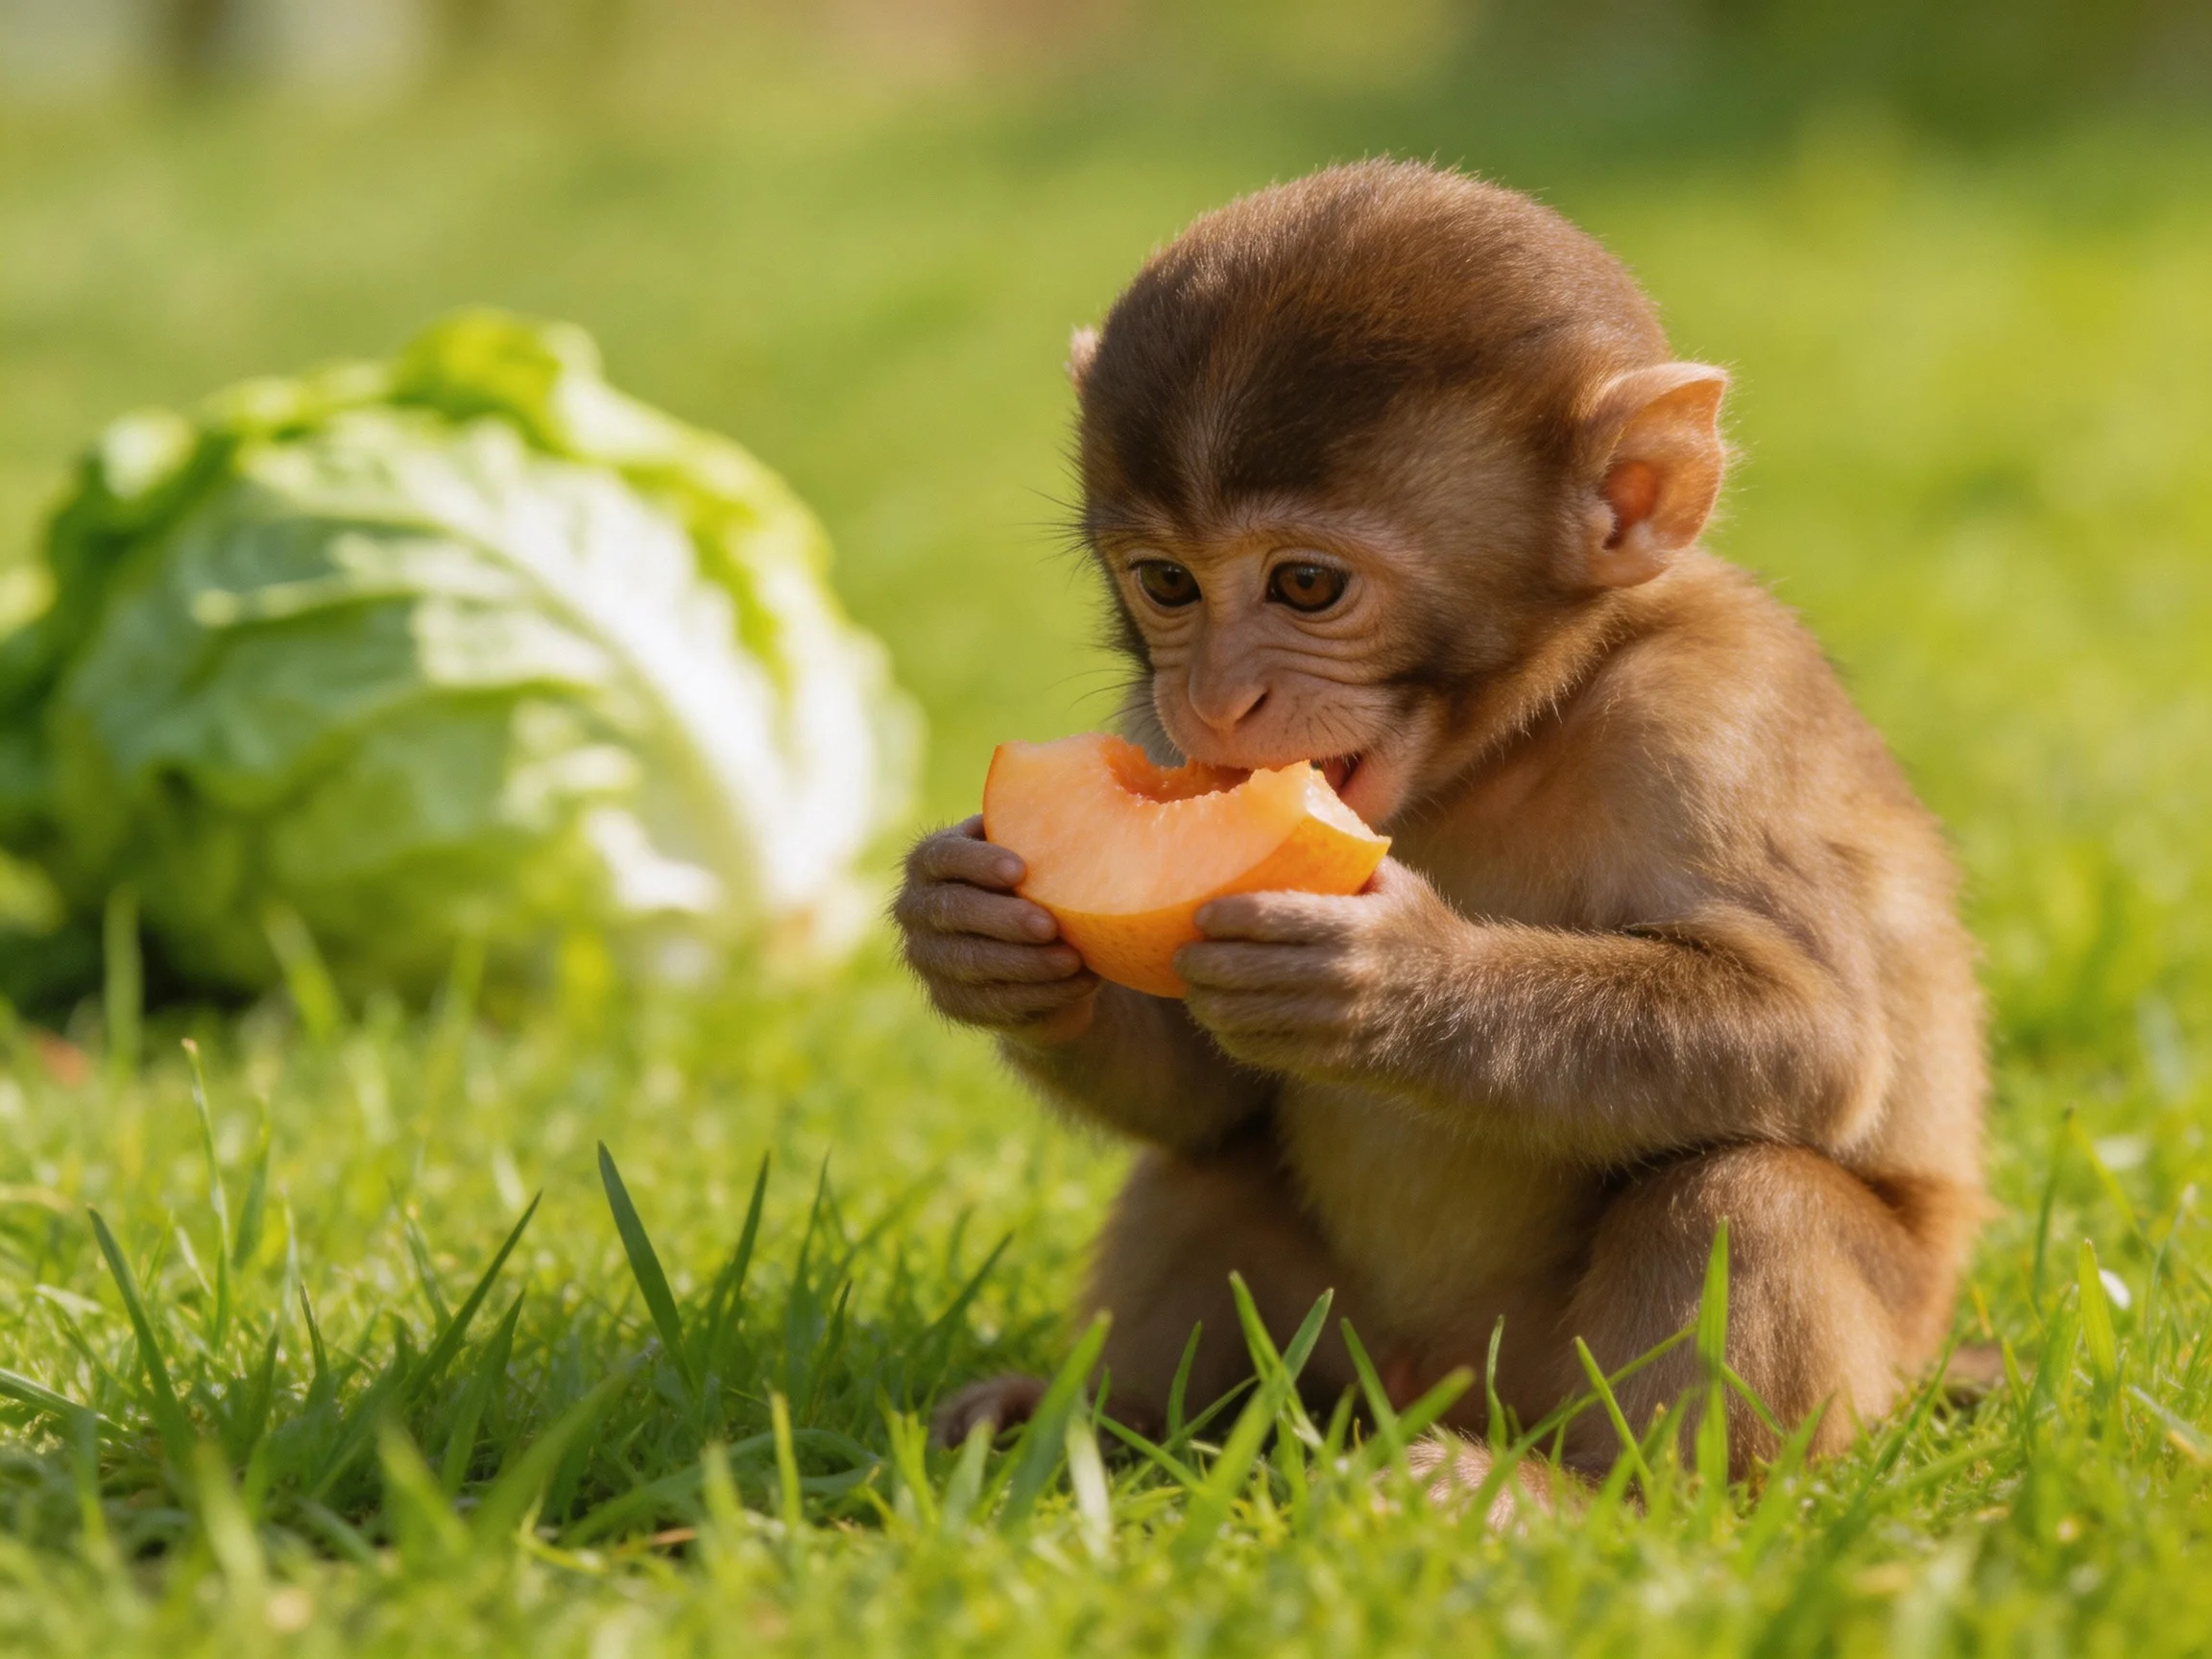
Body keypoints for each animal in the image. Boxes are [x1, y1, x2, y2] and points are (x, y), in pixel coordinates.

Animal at [894, 159, 1986, 1490]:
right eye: (1167, 583)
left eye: (1307, 585)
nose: (1212, 698)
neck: (1502, 741)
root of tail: (1424, 1383)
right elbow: (1202, 1103)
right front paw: (967, 932)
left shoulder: (1718, 713)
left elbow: (1817, 1036)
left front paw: (1398, 976)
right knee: (1208, 1174)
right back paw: (1101, 1430)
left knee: (1747, 1188)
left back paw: (1578, 1500)